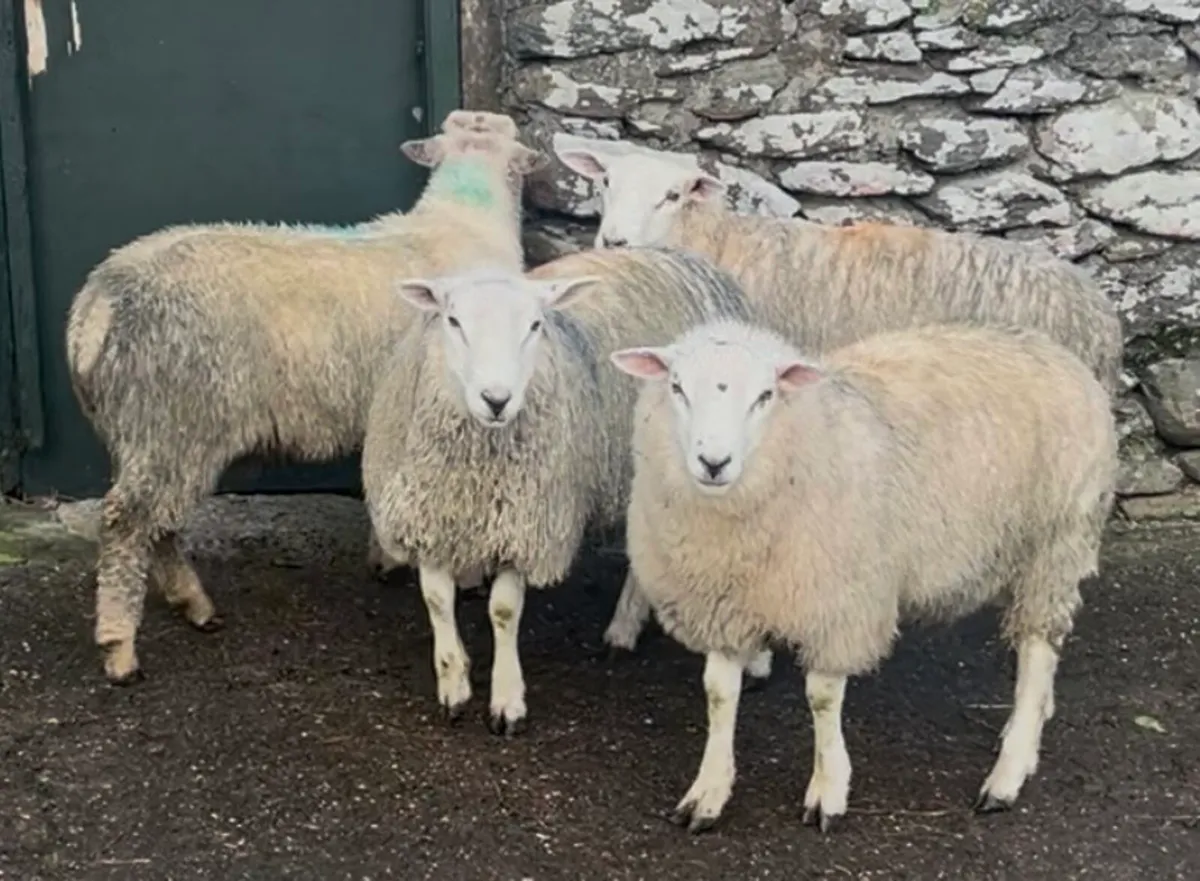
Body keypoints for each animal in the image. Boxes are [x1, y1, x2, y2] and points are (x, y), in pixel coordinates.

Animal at [67, 111, 547, 685]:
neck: (463, 216)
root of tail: (97, 304)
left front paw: (386, 558)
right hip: (171, 419)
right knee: (126, 523)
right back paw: (121, 648)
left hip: (141, 430)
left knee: (155, 525)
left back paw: (193, 604)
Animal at [361, 247, 754, 735]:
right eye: (453, 321)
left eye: (535, 325)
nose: (497, 399)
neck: (478, 462)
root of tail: (687, 256)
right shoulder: (429, 513)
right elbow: (437, 602)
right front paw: (454, 686)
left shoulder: (527, 524)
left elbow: (503, 611)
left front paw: (507, 701)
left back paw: (622, 629)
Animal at [555, 144, 1125, 658]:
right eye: (606, 181)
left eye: (672, 196)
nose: (614, 240)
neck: (717, 246)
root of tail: (1101, 314)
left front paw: (632, 624)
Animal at [609, 318, 1118, 833]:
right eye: (677, 387)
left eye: (765, 396)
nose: (714, 463)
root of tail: (1054, 351)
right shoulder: (723, 607)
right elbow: (718, 694)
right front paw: (708, 792)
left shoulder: (839, 601)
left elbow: (821, 697)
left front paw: (828, 790)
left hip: (1055, 542)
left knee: (1037, 653)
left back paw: (1007, 774)